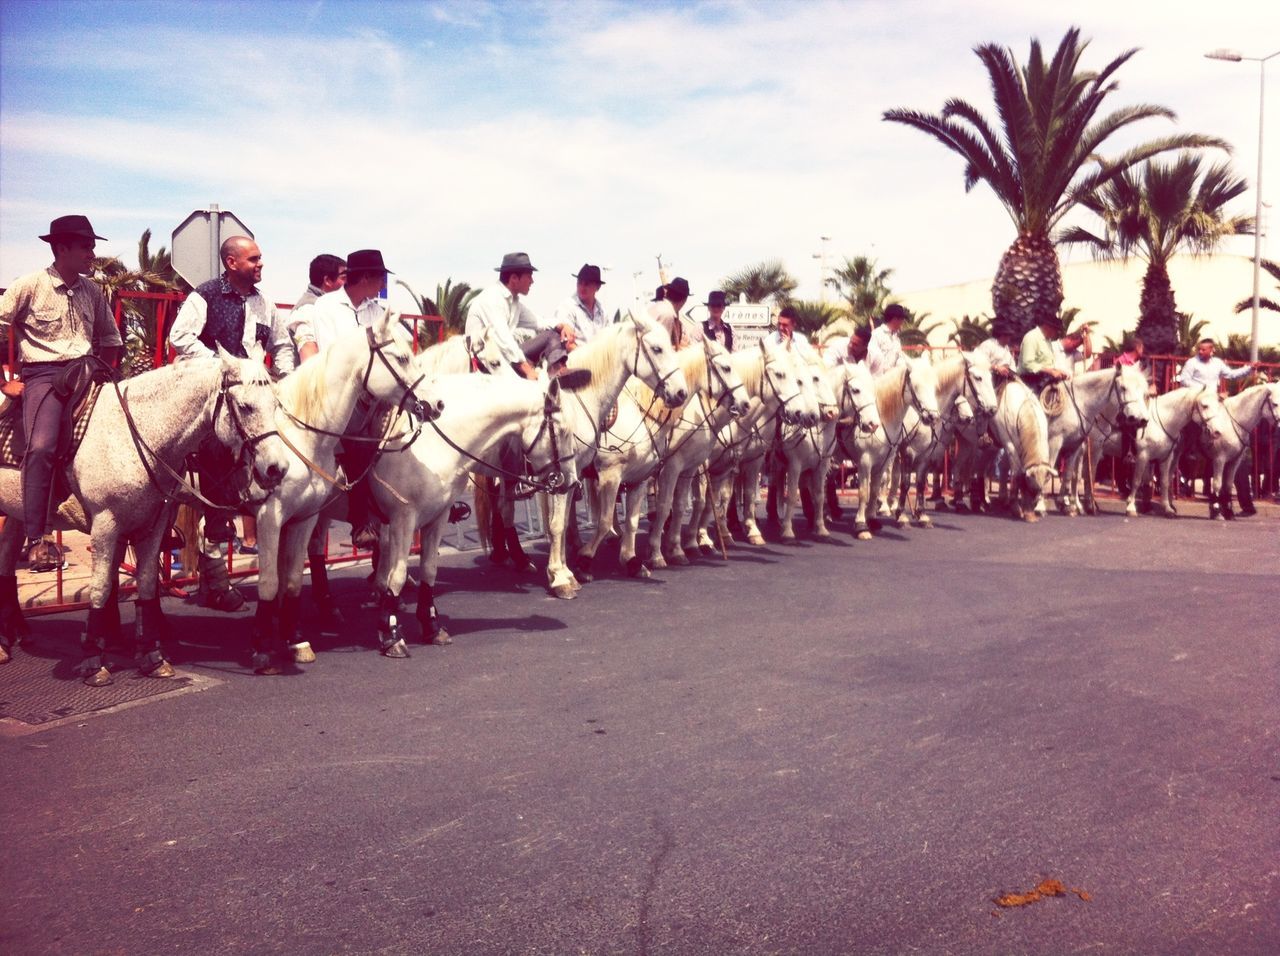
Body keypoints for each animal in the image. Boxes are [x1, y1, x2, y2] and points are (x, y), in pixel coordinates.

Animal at [0, 350, 288, 680]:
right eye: (245, 406)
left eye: (276, 405)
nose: (276, 468)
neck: (134, 436)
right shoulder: (106, 524)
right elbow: (102, 586)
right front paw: (94, 659)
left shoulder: (153, 522)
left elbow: (147, 582)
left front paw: (151, 654)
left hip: (16, 511)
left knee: (6, 560)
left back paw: (10, 636)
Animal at [247, 312, 442, 670]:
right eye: (402, 358)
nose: (437, 404)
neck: (299, 434)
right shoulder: (270, 515)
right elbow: (269, 579)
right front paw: (263, 647)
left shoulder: (304, 515)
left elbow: (291, 577)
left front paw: (294, 639)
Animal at [371, 371, 588, 660]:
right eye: (563, 431)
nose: (572, 483)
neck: (433, 444)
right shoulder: (402, 519)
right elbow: (397, 575)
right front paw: (392, 635)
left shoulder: (437, 516)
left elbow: (429, 569)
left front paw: (431, 627)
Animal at [1049, 366, 1152, 517]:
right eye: (1123, 388)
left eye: (1144, 393)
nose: (1141, 420)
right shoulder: (1088, 446)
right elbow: (1080, 474)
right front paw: (1083, 504)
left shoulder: (1092, 446)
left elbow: (1081, 473)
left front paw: (1078, 504)